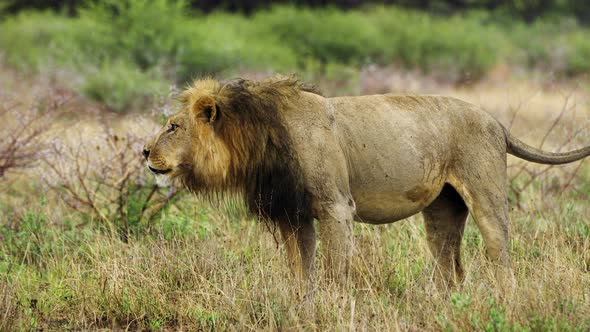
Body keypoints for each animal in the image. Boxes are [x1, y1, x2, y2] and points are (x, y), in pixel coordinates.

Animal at [145, 76, 590, 290]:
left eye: (173, 126)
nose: (144, 151)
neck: (255, 141)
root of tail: (496, 120)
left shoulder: (336, 207)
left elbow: (334, 270)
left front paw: (334, 306)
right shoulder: (293, 214)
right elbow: (300, 269)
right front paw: (302, 306)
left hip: (486, 198)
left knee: (501, 258)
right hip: (442, 211)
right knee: (449, 265)